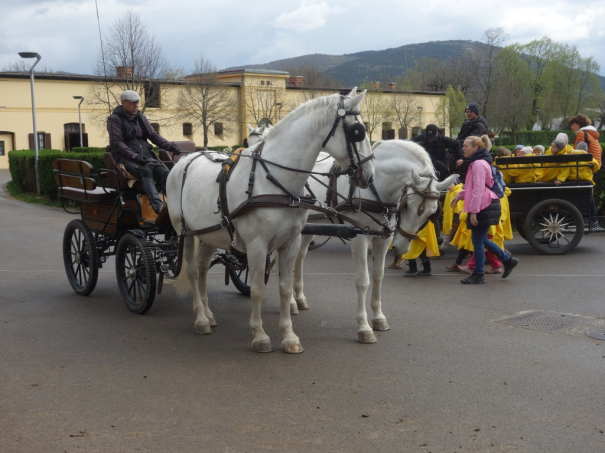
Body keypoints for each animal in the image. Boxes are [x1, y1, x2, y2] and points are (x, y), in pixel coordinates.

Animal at [165, 90, 372, 354]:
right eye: (358, 131)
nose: (369, 175)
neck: (274, 180)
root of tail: (185, 159)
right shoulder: (257, 245)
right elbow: (257, 289)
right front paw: (260, 335)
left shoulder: (290, 243)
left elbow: (284, 287)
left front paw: (289, 336)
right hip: (185, 232)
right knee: (192, 270)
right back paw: (201, 318)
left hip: (210, 233)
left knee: (202, 267)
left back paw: (209, 314)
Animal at [290, 139, 456, 340]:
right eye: (407, 204)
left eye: (432, 213)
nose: (401, 247)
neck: (375, 188)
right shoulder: (359, 237)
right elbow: (363, 280)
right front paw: (364, 326)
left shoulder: (383, 239)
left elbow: (378, 276)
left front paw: (378, 318)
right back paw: (291, 303)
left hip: (307, 229)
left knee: (299, 258)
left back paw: (299, 298)